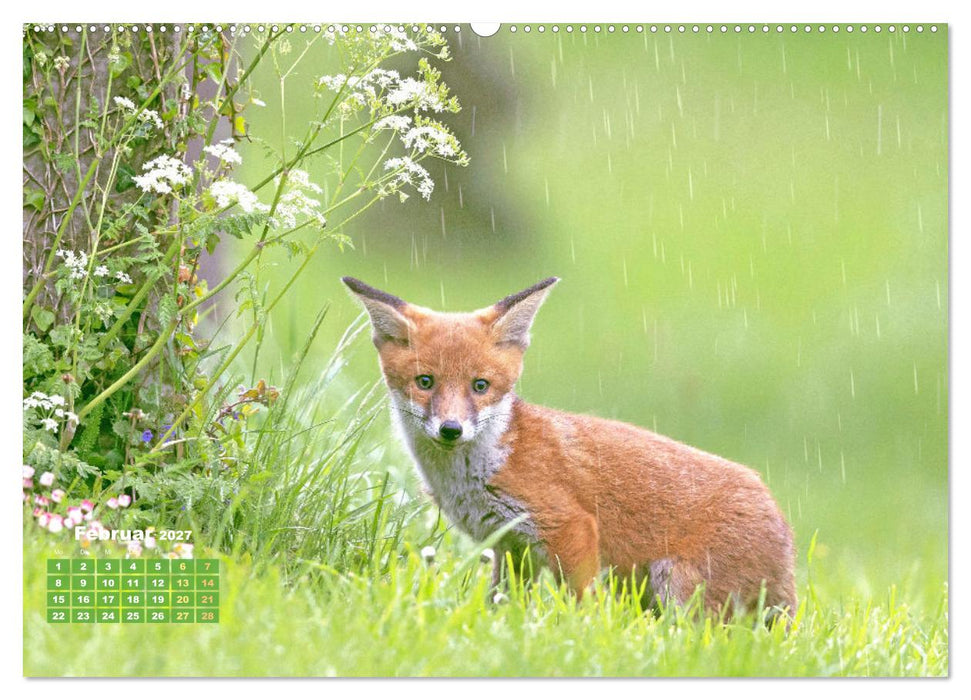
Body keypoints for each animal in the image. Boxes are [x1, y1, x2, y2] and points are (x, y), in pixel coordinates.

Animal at [343, 275, 796, 618]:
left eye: (480, 386)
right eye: (425, 382)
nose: (451, 429)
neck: (481, 469)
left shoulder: (569, 526)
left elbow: (582, 604)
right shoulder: (512, 546)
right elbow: (501, 604)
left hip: (679, 589)